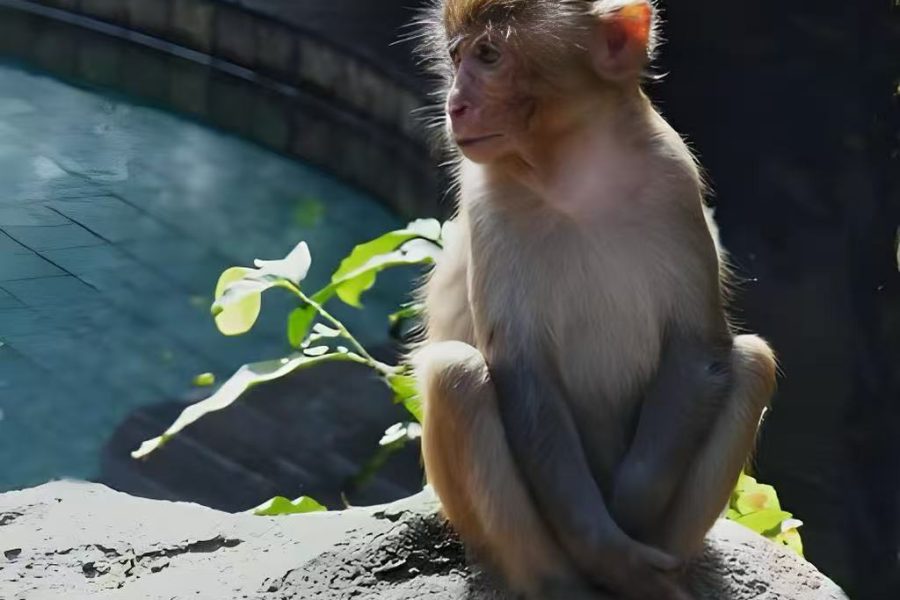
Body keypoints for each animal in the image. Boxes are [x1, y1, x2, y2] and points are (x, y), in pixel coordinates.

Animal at [410, 1, 777, 599]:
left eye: (488, 55)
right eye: (456, 56)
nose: (455, 105)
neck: (575, 171)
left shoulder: (673, 176)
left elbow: (697, 349)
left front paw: (628, 526)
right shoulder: (487, 197)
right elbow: (524, 372)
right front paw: (607, 549)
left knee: (750, 362)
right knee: (456, 374)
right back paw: (563, 584)